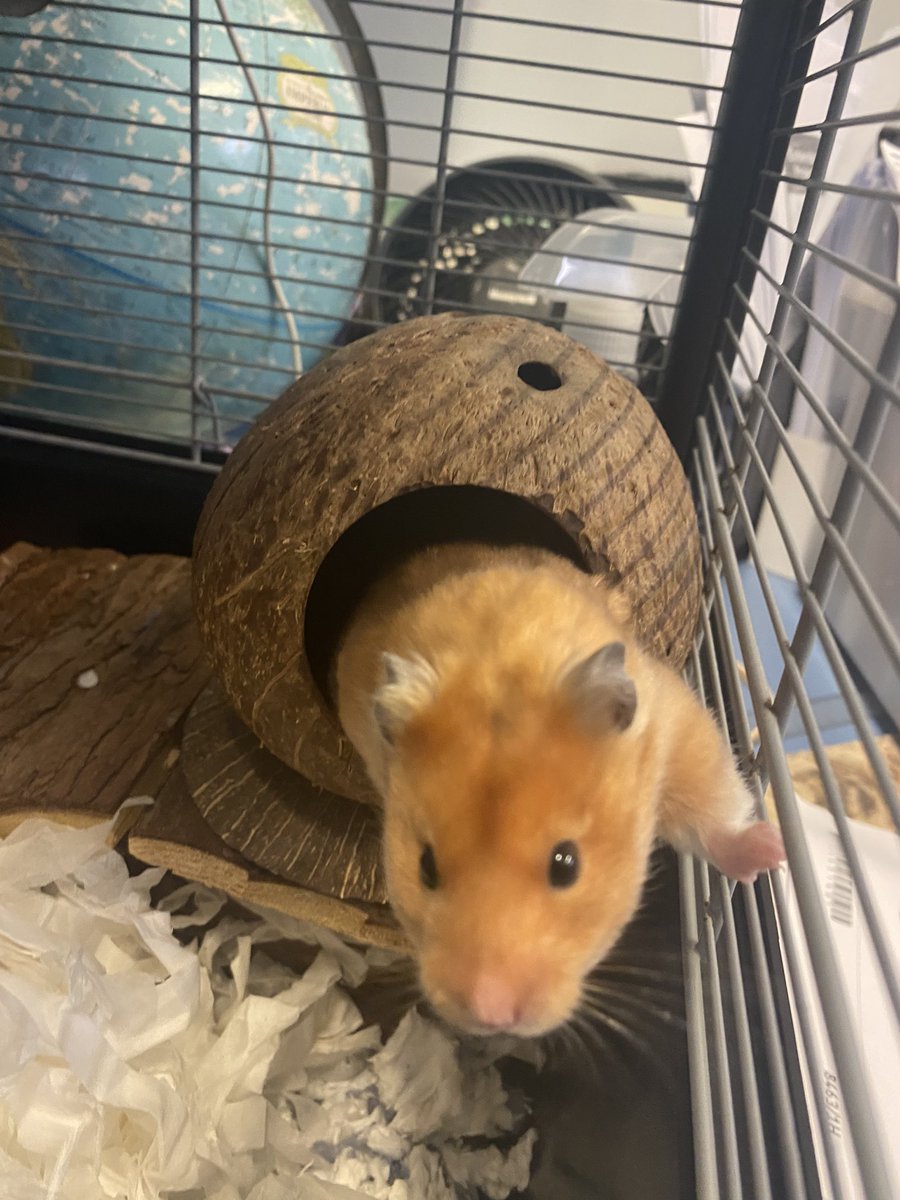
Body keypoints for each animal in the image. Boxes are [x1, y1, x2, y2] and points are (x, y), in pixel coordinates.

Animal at [335, 543, 785, 1038]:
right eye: (425, 868)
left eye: (567, 864)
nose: (491, 1014)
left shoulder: (673, 728)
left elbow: (712, 804)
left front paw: (773, 854)